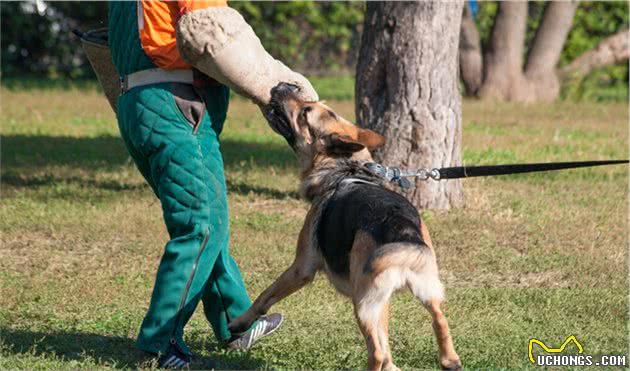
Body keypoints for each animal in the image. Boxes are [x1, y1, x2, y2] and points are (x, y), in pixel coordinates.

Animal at [230, 84, 462, 371]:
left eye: (306, 112)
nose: (284, 86)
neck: (345, 167)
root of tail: (401, 227)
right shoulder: (383, 301)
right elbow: (388, 339)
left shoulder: (301, 267)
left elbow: (265, 295)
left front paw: (239, 322)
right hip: (423, 289)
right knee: (437, 320)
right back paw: (449, 359)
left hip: (362, 304)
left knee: (376, 352)